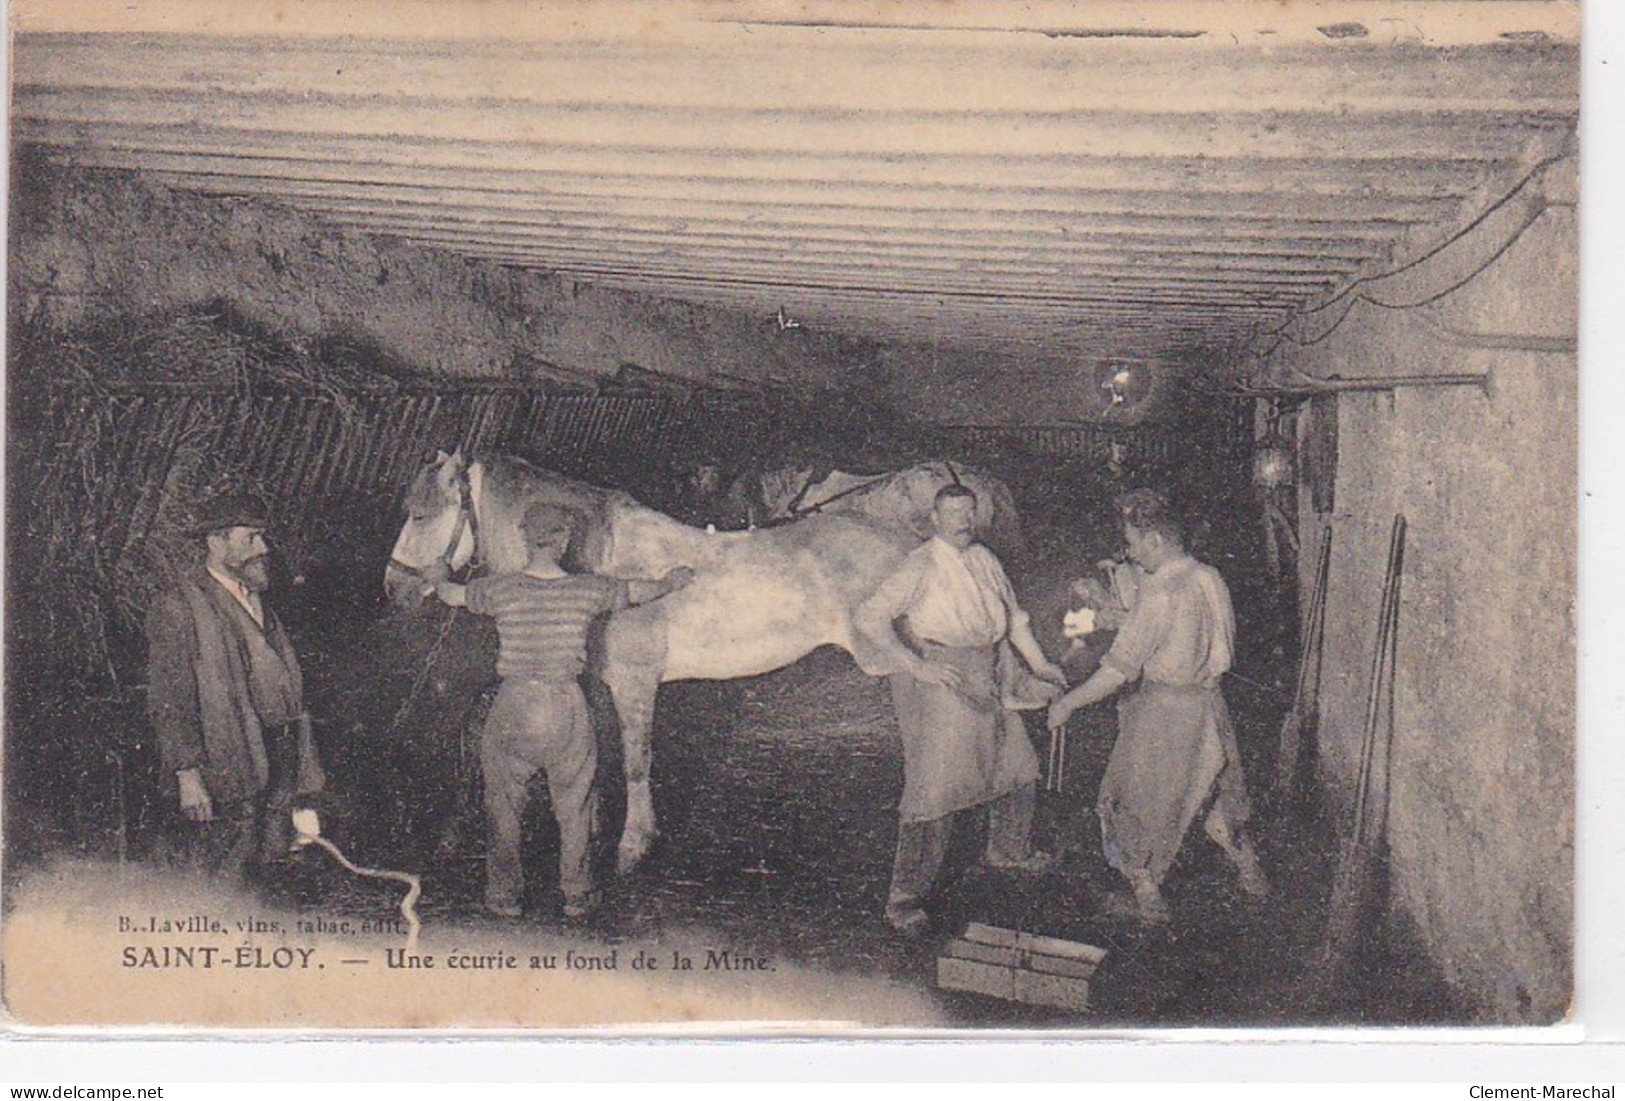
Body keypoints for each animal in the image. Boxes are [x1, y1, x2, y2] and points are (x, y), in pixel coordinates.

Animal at [380, 451, 916, 876]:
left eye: (422, 516)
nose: (394, 587)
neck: (605, 562)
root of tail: (913, 544)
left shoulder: (635, 685)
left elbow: (637, 761)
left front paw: (633, 846)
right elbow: (596, 752)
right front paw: (591, 826)